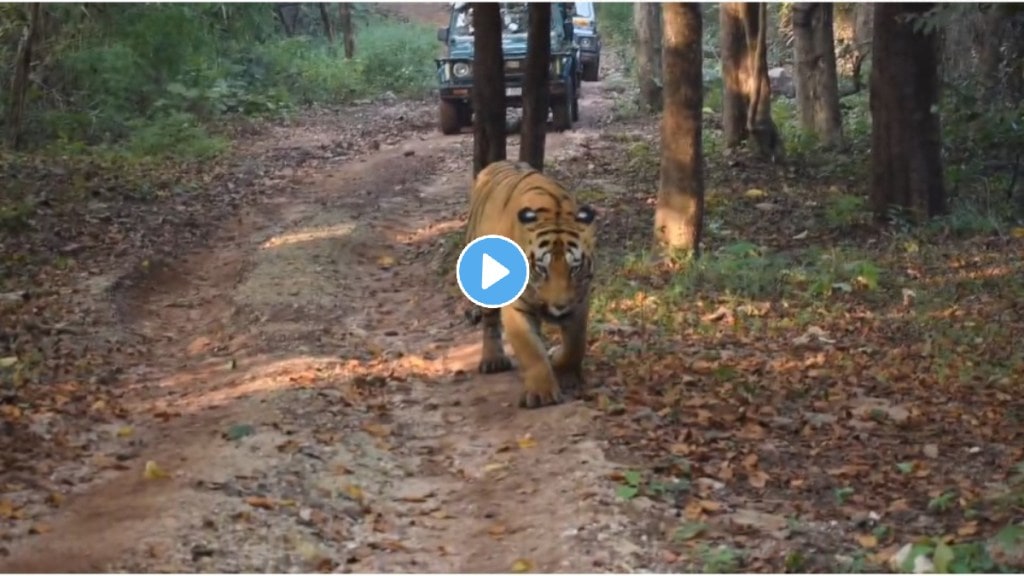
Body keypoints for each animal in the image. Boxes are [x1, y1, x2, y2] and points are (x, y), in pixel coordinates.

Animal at [466, 158, 598, 405]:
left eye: (574, 269)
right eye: (541, 269)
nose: (559, 307)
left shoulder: (580, 301)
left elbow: (576, 344)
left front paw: (565, 373)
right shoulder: (517, 306)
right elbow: (531, 350)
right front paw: (542, 393)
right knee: (490, 323)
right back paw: (493, 360)